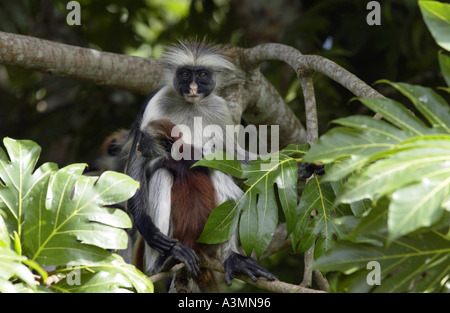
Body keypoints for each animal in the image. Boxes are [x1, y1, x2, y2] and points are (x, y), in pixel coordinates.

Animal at [123, 40, 276, 286]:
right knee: (162, 175)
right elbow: (138, 163)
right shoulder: (154, 104)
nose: (193, 87)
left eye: (202, 75)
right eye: (185, 74)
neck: (190, 105)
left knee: (217, 174)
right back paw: (165, 260)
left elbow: (232, 158)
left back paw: (232, 258)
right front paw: (146, 226)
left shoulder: (220, 109)